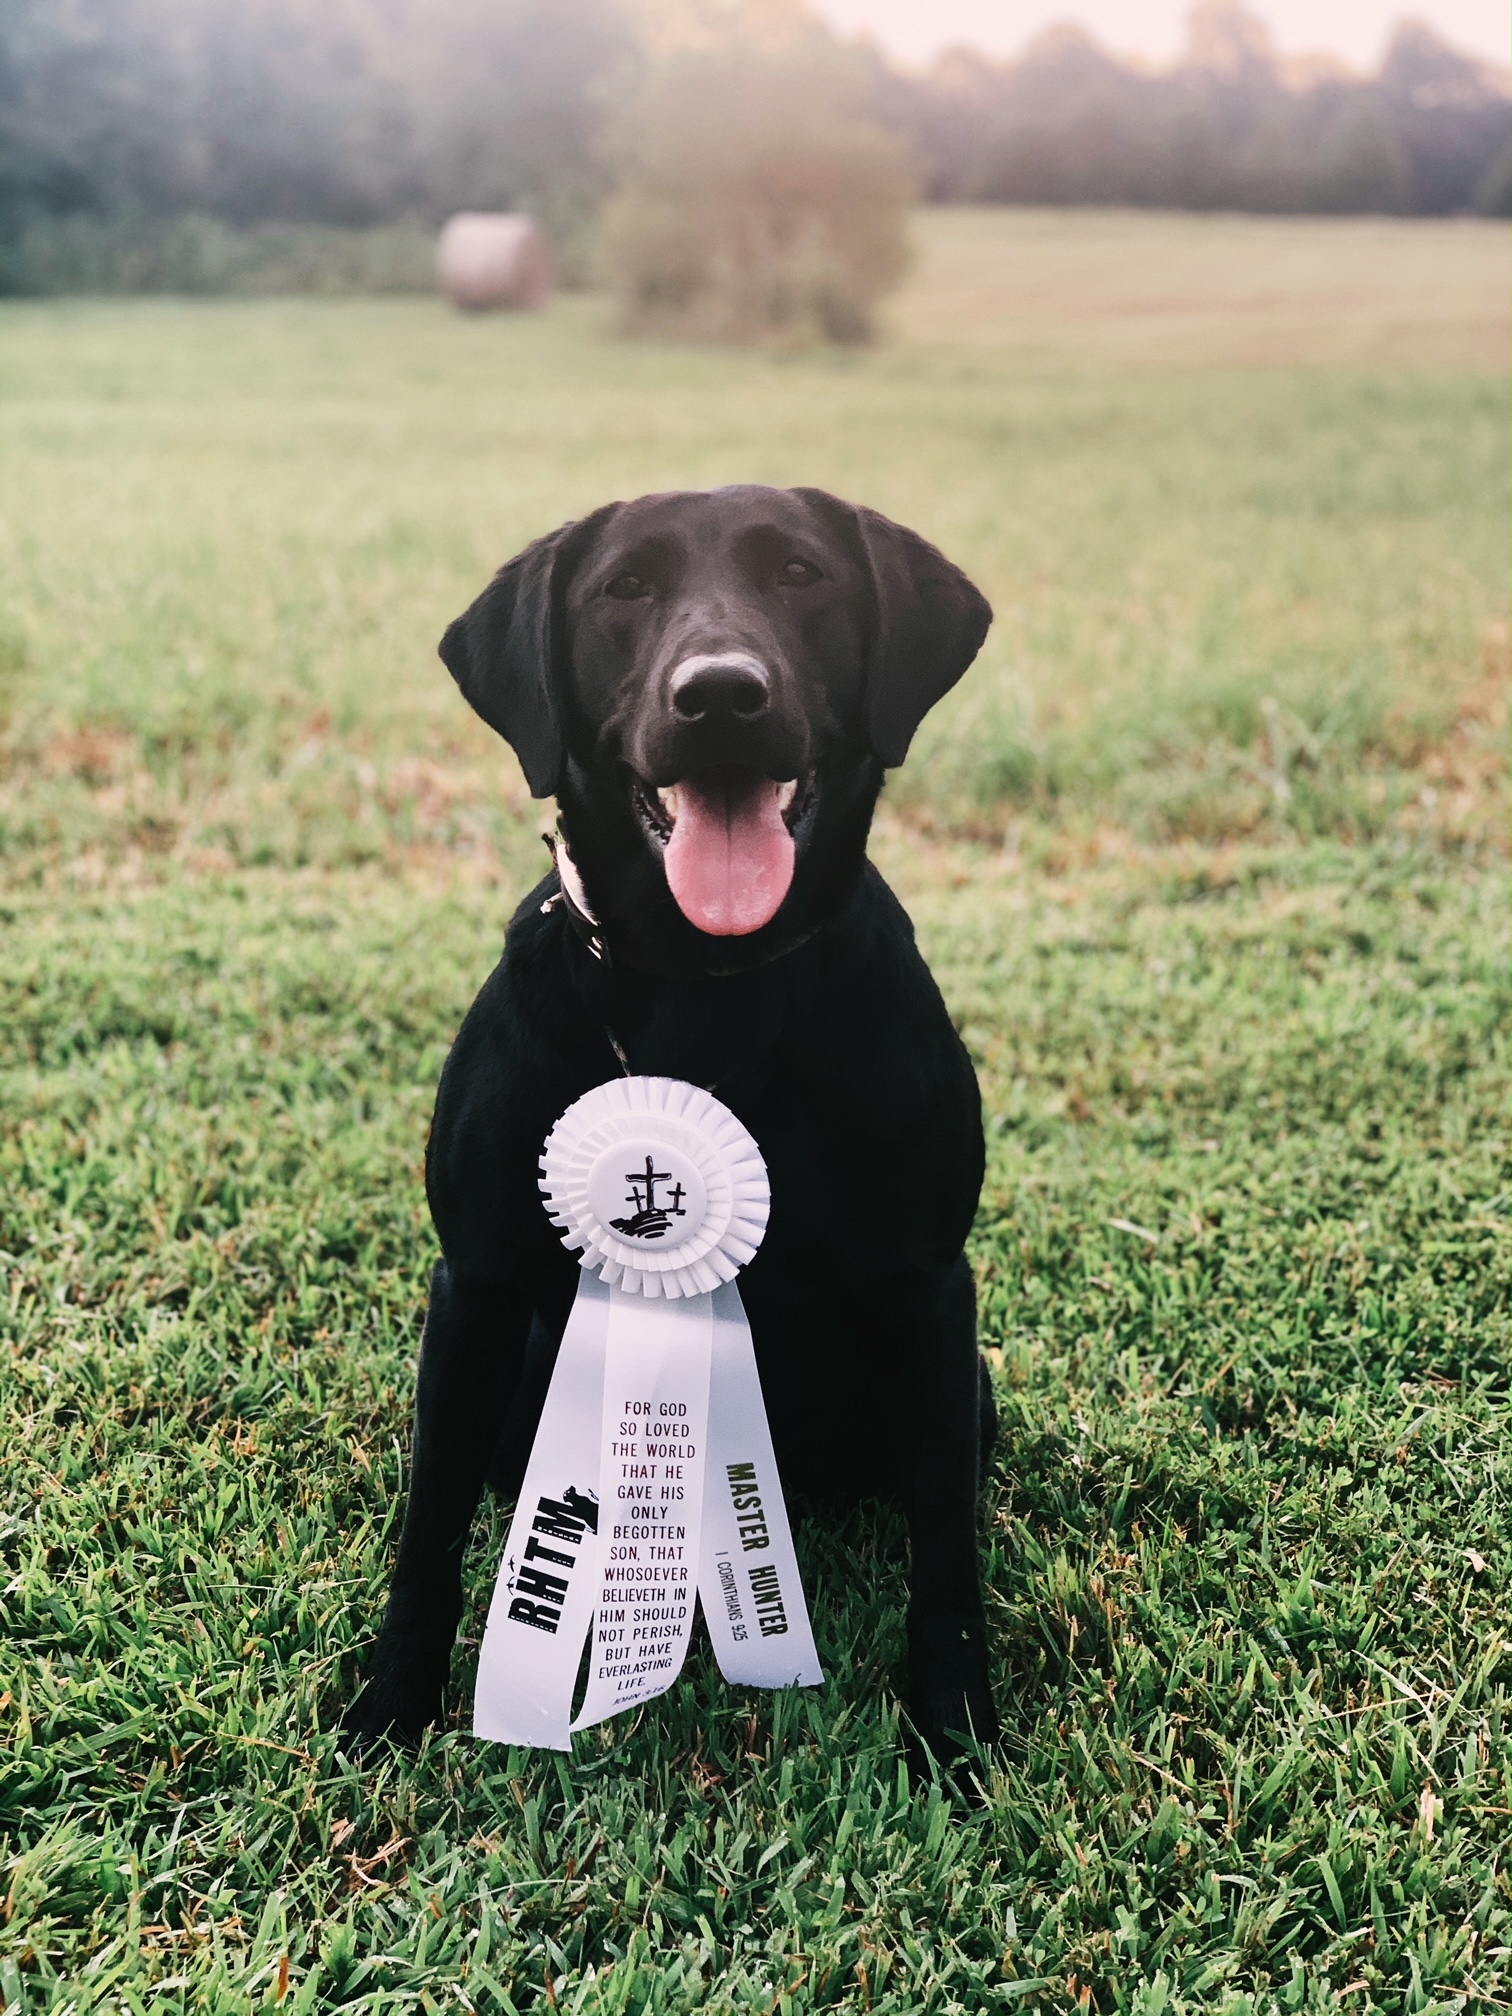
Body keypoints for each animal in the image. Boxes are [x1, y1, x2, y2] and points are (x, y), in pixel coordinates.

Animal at [348, 483, 999, 1766]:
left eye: (800, 573)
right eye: (626, 589)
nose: (721, 696)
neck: (709, 988)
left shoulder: (928, 1291)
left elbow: (947, 1555)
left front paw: (958, 1729)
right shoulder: (475, 1289)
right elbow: (426, 1532)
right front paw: (389, 1708)